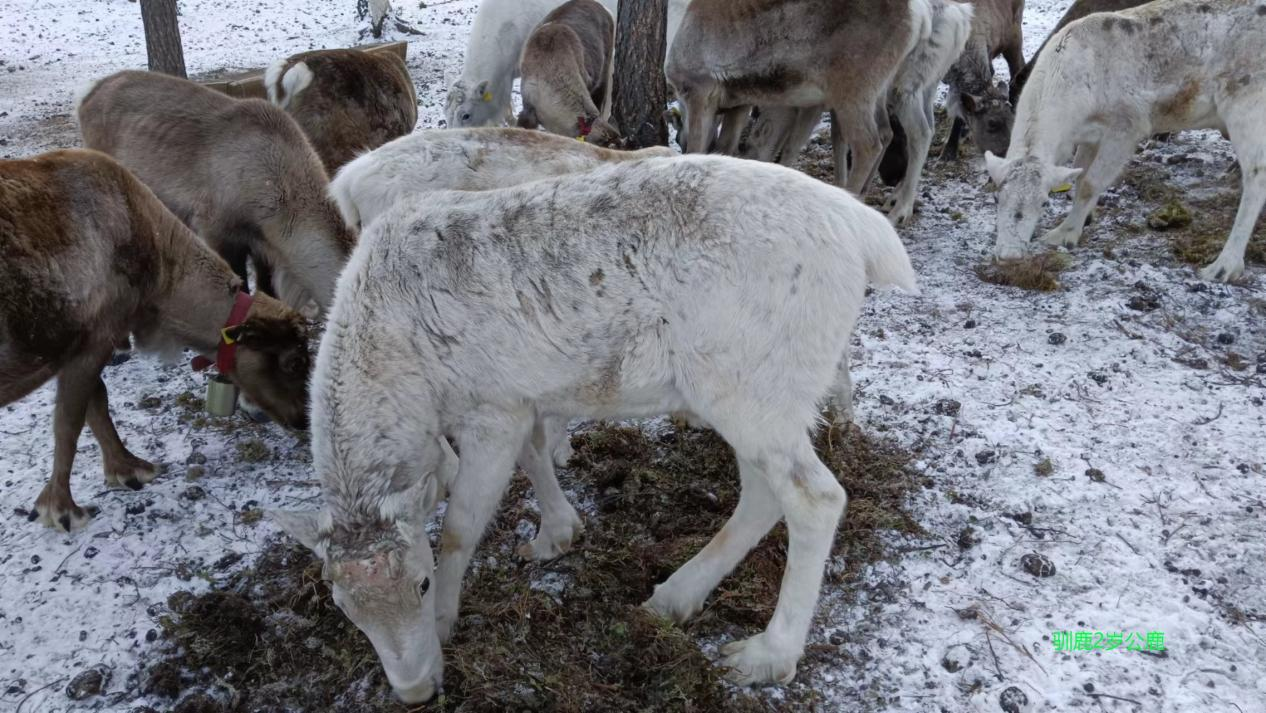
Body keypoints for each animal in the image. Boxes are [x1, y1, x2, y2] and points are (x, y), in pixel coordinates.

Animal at [1, 149, 313, 531]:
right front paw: (61, 507)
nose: (305, 420)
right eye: (294, 362)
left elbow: (95, 405)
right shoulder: (95, 339)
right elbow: (70, 423)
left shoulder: (80, 345)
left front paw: (125, 467)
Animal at [273, 153, 917, 703]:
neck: (399, 369)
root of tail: (868, 235)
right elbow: (536, 457)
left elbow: (459, 527)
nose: (411, 693)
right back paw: (675, 596)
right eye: (343, 607)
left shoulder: (491, 408)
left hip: (752, 388)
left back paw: (767, 654)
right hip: (751, 398)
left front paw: (446, 624)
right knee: (763, 493)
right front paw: (556, 535)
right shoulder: (524, 400)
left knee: (815, 497)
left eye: (421, 582)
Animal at [986, 0, 1266, 283]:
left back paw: (1225, 265)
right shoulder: (1089, 136)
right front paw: (1085, 217)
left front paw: (1065, 233)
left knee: (1256, 175)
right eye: (997, 197)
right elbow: (1079, 176)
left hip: (1246, 105)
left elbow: (1090, 184)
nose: (1009, 256)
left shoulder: (1126, 128)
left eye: (1044, 202)